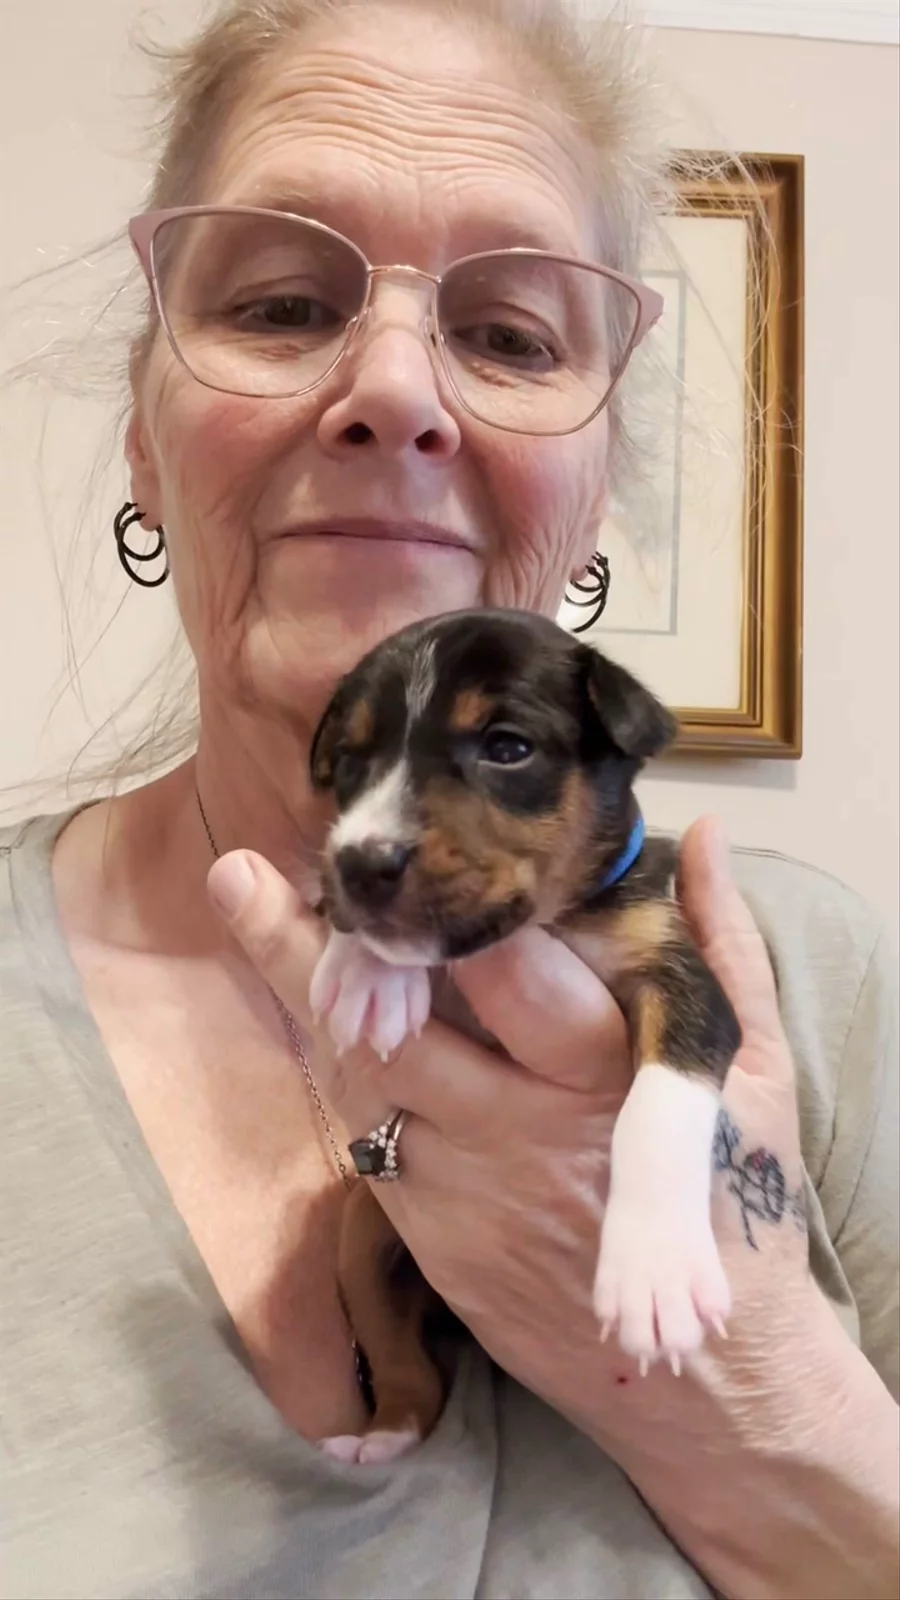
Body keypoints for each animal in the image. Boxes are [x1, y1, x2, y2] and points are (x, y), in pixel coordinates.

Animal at [307, 608, 741, 1463]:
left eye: (507, 747)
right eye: (348, 763)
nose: (361, 863)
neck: (546, 926)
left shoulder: (682, 976)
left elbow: (661, 1105)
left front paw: (657, 1267)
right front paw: (365, 973)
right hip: (361, 1234)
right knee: (403, 1362)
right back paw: (386, 1434)